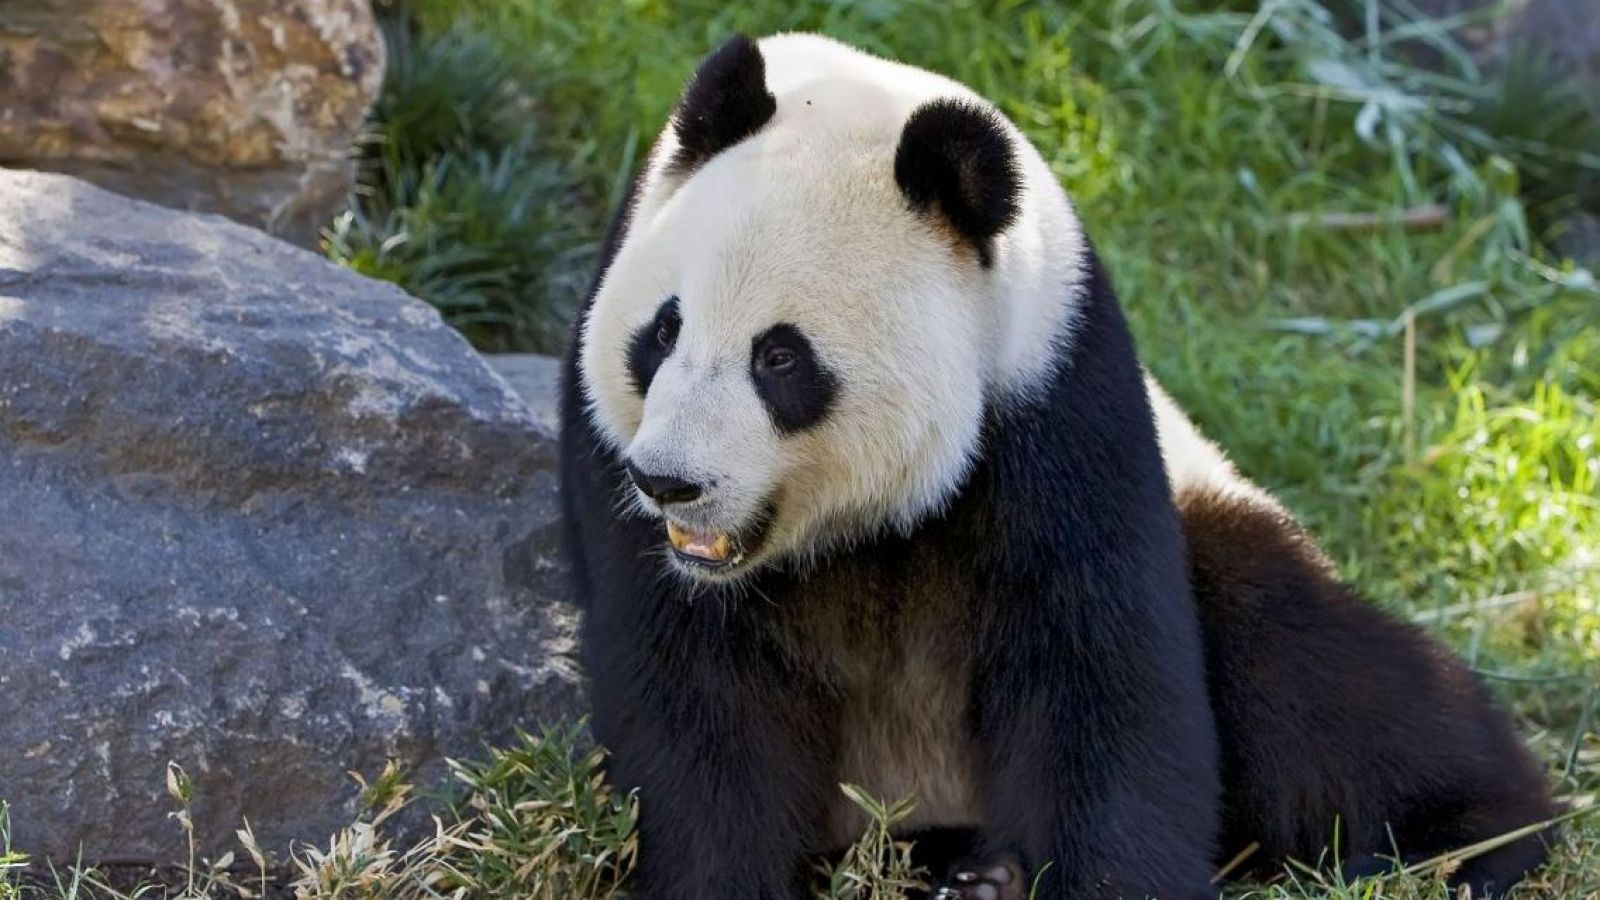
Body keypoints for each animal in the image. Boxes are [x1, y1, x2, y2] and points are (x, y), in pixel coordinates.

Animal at [558, 33, 1555, 900]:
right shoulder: (612, 461)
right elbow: (695, 708)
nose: (669, 481)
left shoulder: (1056, 398)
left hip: (1215, 514)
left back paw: (1467, 842)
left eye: (780, 358)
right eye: (663, 332)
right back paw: (969, 873)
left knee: (1311, 672)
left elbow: (1099, 678)